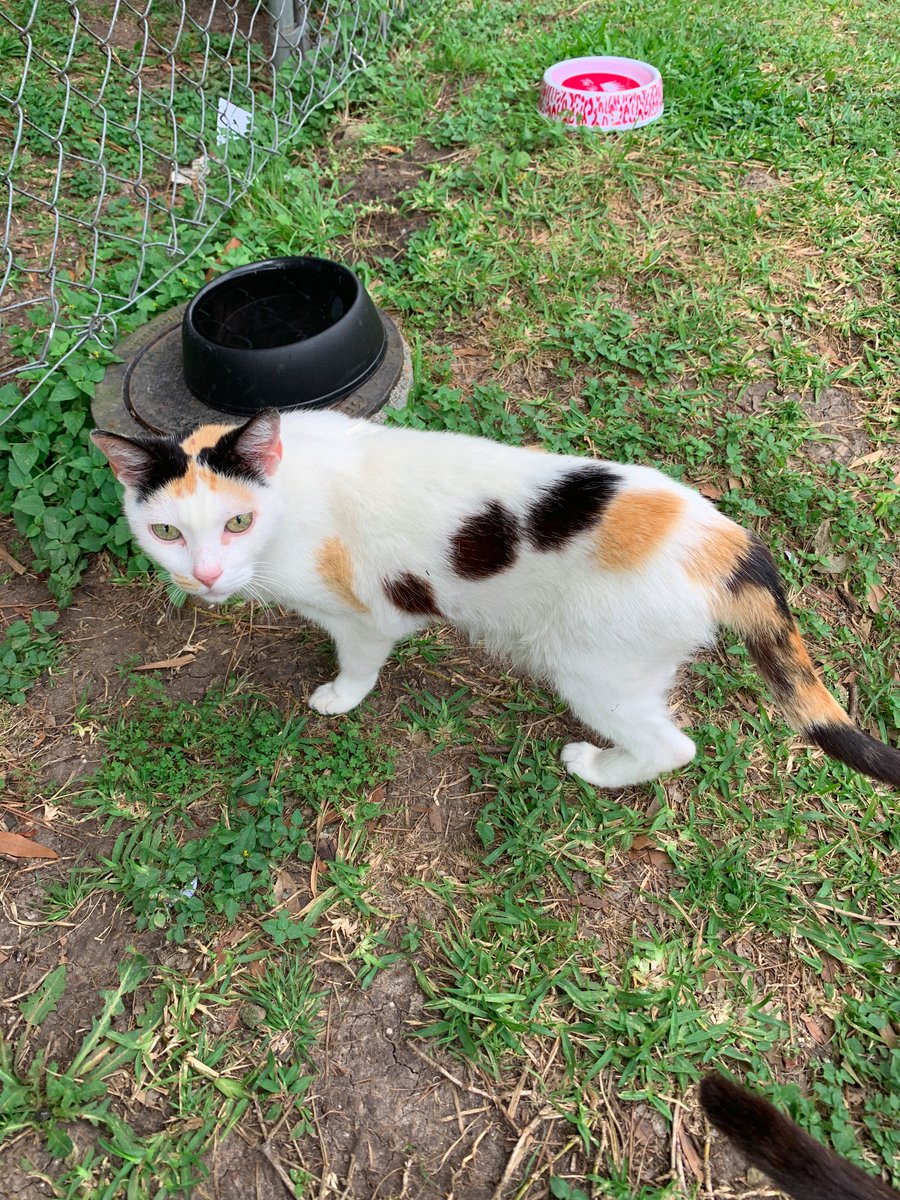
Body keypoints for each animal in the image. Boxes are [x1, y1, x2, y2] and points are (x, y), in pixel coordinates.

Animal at [91, 408, 900, 792]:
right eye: (166, 532)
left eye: (237, 522)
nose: (203, 577)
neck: (289, 487)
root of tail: (726, 543)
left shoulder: (364, 615)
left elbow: (360, 661)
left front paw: (339, 697)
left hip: (594, 669)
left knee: (672, 747)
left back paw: (597, 767)